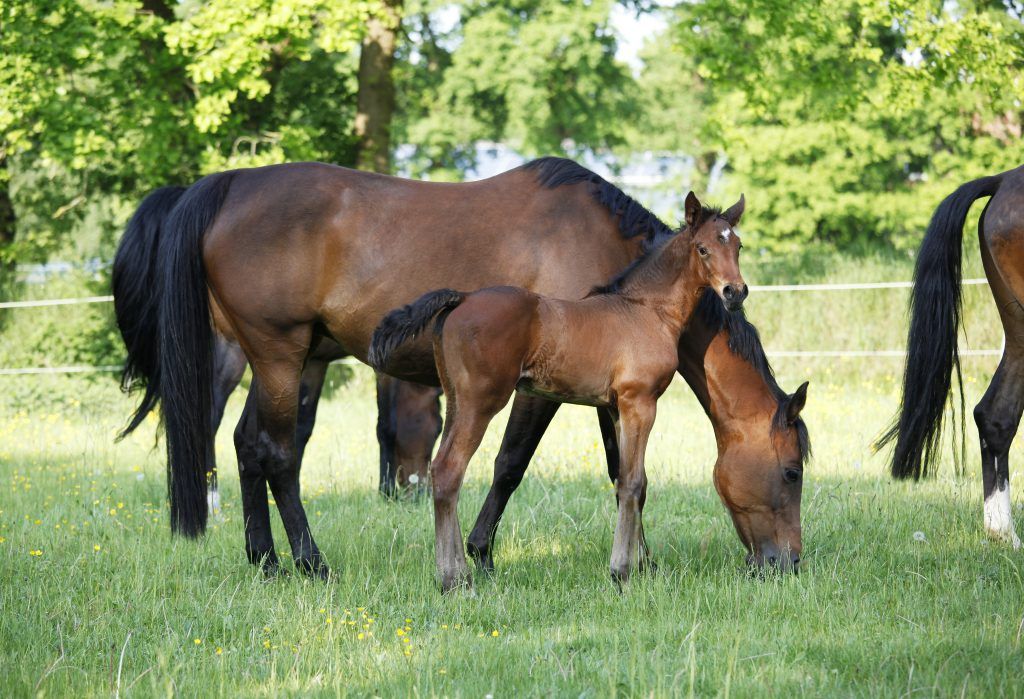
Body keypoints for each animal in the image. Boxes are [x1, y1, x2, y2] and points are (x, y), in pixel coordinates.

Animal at [368, 194, 745, 593]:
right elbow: (634, 482)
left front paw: (636, 566)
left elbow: (626, 480)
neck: (646, 311)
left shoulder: (615, 408)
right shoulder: (640, 403)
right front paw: (622, 572)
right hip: (481, 402)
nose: (735, 293)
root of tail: (463, 298)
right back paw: (454, 580)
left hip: (456, 400)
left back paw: (458, 575)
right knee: (448, 471)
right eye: (703, 248)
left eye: (737, 246)